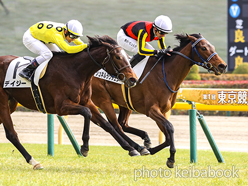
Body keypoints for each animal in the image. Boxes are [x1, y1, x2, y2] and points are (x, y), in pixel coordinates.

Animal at [0, 35, 140, 170]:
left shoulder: (87, 102)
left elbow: (106, 124)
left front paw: (131, 148)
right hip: (3, 103)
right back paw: (34, 162)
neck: (75, 71)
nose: (133, 79)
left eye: (127, 57)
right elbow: (87, 113)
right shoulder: (61, 107)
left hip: (11, 104)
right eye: (118, 57)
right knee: (12, 134)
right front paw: (84, 148)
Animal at [90, 33, 227, 169]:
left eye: (212, 47)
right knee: (114, 125)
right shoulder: (152, 110)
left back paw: (143, 141)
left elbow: (167, 137)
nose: (222, 66)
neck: (165, 74)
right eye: (203, 48)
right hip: (103, 99)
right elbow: (170, 128)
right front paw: (171, 159)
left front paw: (152, 150)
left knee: (122, 124)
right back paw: (136, 148)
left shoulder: (163, 111)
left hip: (125, 103)